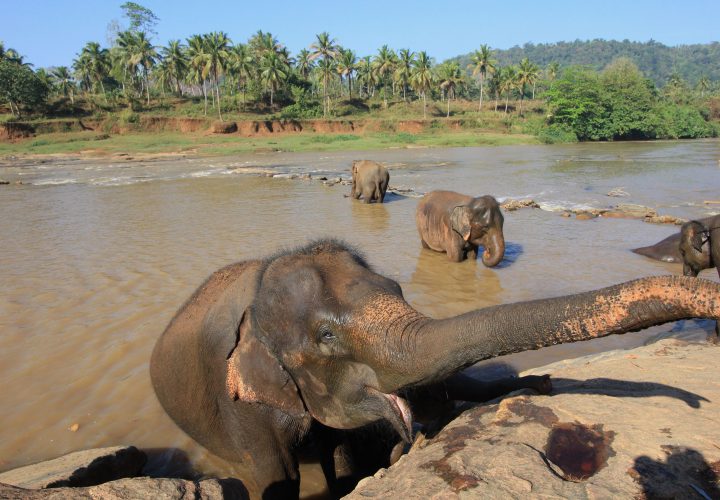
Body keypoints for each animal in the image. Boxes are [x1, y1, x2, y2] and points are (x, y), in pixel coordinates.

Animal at [151, 240, 720, 499]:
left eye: (399, 290)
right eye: (326, 337)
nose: (701, 401)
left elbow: (345, 459)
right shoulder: (240, 408)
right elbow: (279, 479)